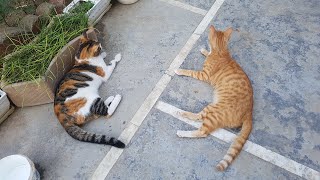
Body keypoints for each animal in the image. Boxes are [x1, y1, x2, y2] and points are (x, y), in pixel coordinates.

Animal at [175, 25, 252, 170]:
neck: (221, 51)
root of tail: (250, 111)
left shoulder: (203, 75)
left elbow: (189, 71)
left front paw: (180, 70)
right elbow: (207, 52)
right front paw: (205, 50)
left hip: (213, 110)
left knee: (202, 130)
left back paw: (182, 125)